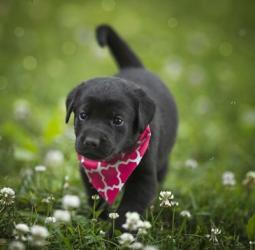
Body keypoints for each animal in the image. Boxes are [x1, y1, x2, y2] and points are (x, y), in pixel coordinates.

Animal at [65, 24, 177, 229]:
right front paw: (100, 221)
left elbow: (129, 209)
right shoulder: (87, 173)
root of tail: (135, 67)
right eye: (83, 115)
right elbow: (96, 199)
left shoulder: (144, 178)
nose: (91, 141)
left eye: (117, 120)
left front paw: (119, 232)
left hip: (163, 162)